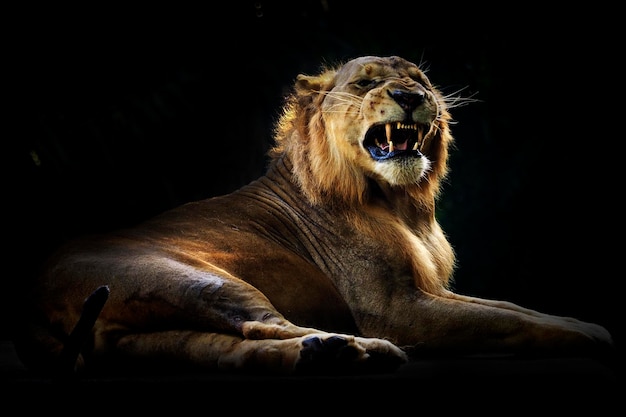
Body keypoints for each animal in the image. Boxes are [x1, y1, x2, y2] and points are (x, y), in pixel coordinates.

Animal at [12, 53, 612, 376]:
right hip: (198, 279)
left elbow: (510, 306)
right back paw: (359, 349)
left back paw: (324, 354)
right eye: (367, 82)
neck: (402, 205)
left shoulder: (431, 289)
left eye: (419, 79)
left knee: (235, 349)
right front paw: (596, 336)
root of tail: (31, 300)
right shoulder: (396, 307)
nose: (410, 95)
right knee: (263, 321)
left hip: (146, 340)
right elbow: (509, 322)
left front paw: (580, 322)